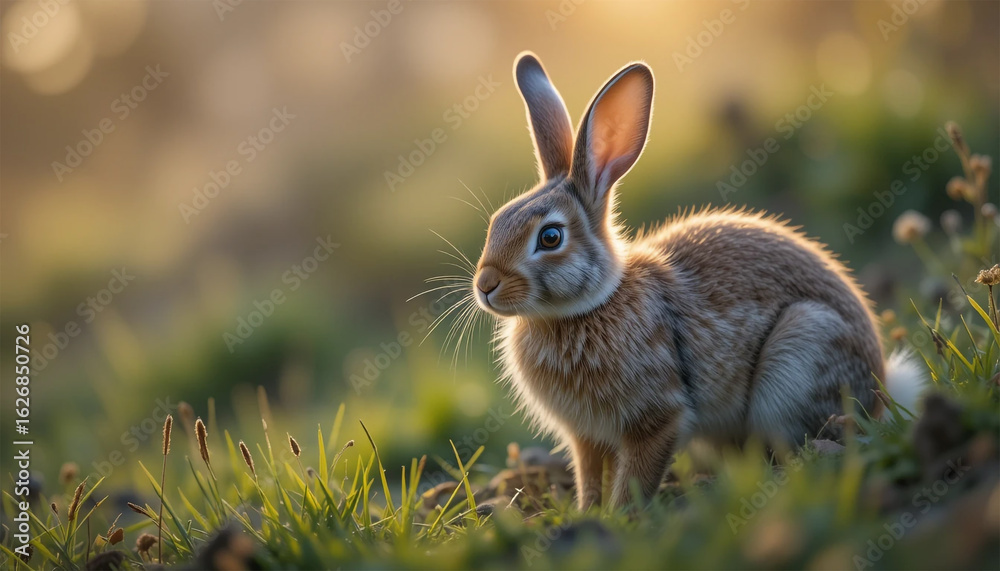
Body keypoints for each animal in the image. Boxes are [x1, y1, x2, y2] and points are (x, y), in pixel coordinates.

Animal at [470, 51, 923, 510]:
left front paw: (622, 517)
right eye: (496, 222)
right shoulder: (586, 437)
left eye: (550, 237)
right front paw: (587, 514)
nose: (485, 285)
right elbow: (590, 476)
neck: (585, 308)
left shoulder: (659, 416)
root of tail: (881, 388)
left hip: (800, 355)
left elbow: (637, 475)